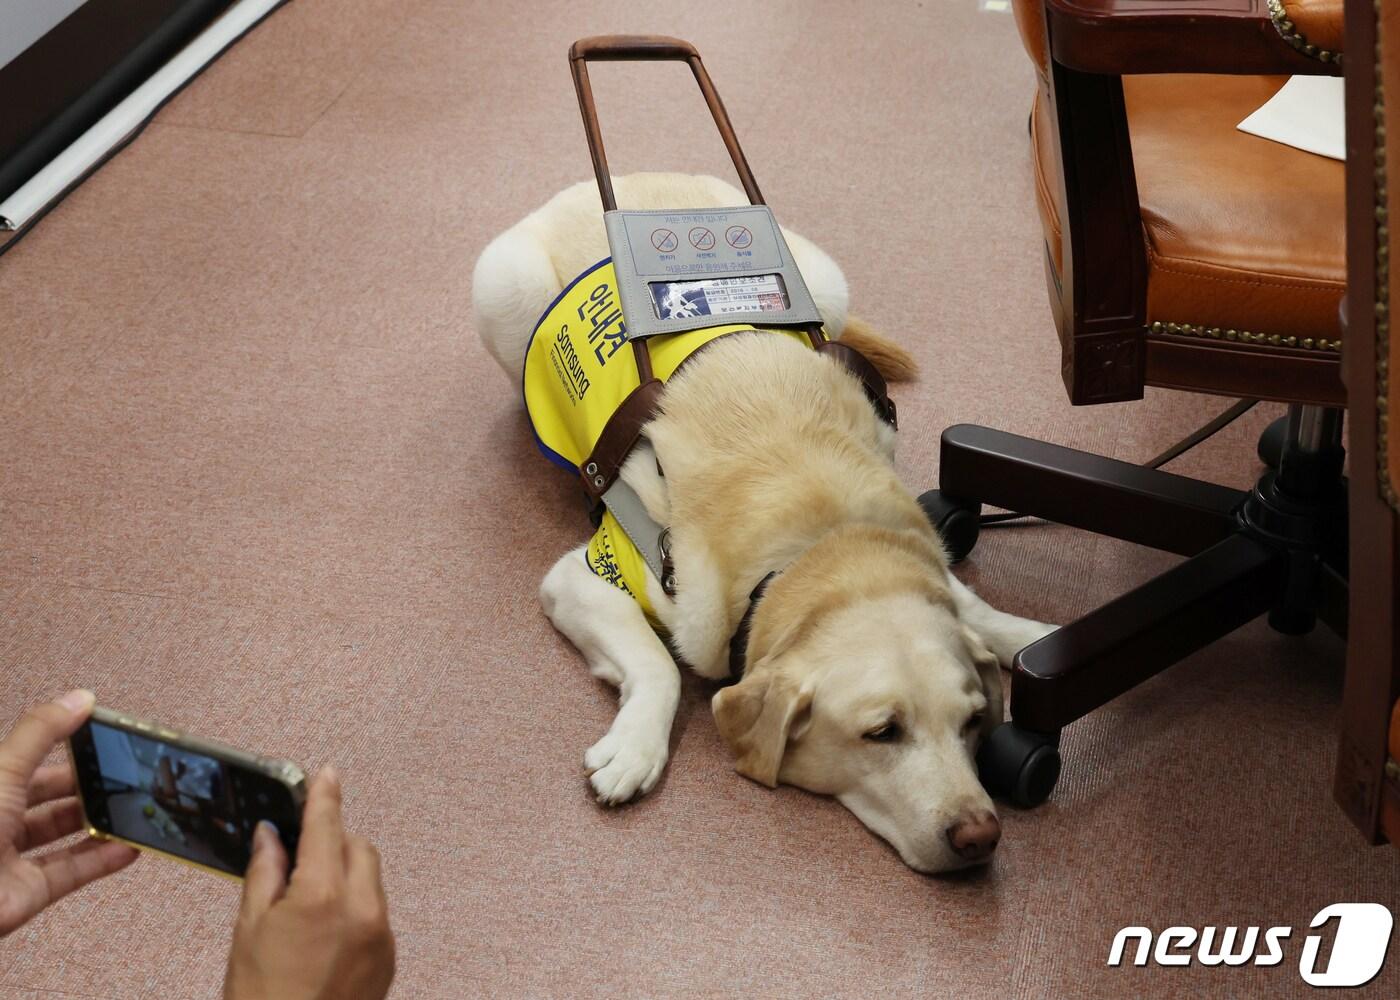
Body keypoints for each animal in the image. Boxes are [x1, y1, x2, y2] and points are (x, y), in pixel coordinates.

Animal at [470, 171, 1052, 862]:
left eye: (972, 721)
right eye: (882, 732)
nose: (980, 835)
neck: (815, 545)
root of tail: (630, 178)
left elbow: (980, 611)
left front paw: (1037, 638)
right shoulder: (590, 573)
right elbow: (659, 663)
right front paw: (634, 750)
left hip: (824, 280)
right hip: (506, 284)